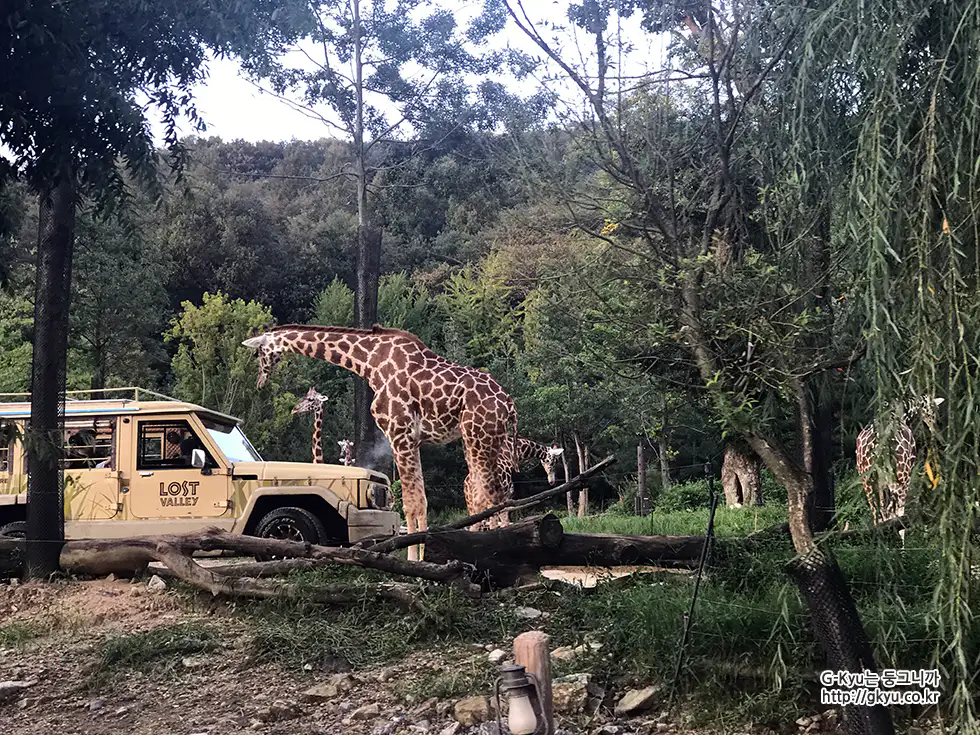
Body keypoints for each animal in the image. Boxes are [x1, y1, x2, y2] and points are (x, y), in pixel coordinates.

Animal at [243, 324, 520, 560]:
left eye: (258, 352)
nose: (259, 382)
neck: (369, 362)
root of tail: (508, 403)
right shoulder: (413, 440)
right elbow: (421, 500)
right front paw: (422, 555)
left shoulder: (399, 433)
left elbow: (410, 503)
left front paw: (414, 559)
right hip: (483, 440)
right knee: (489, 496)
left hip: (478, 437)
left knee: (486, 496)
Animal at [852, 394, 944, 544]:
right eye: (933, 411)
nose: (934, 429)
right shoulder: (906, 477)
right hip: (898, 479)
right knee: (893, 514)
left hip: (868, 481)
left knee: (877, 516)